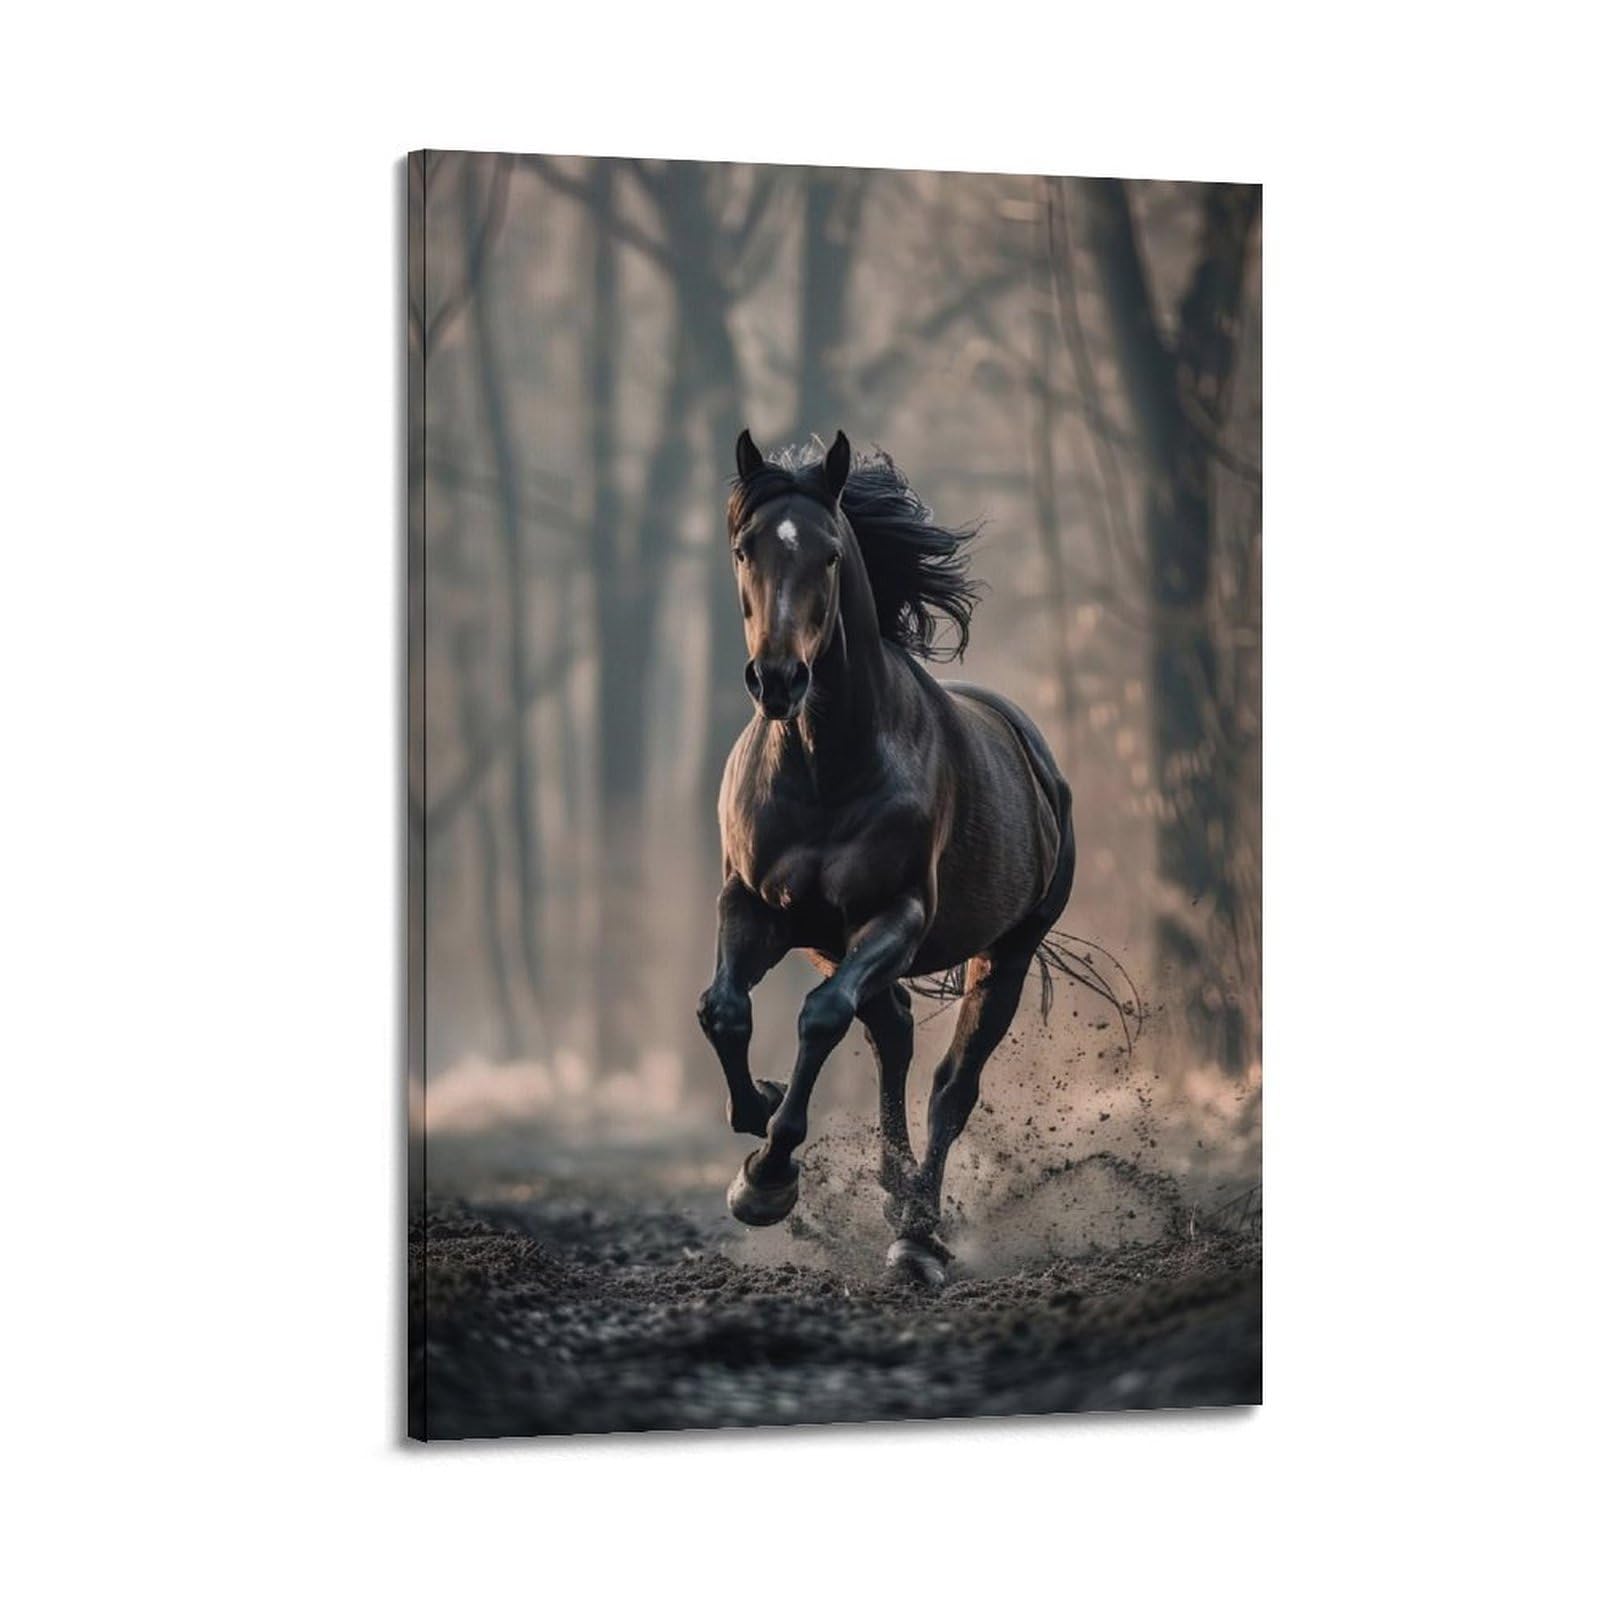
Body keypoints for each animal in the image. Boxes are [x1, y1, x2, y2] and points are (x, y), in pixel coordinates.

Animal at [695, 429, 1076, 1287]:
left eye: (832, 554)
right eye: (743, 548)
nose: (778, 679)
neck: (823, 765)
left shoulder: (893, 915)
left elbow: (819, 1018)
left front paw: (770, 1176)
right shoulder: (754, 905)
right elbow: (724, 1010)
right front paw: (758, 1117)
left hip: (1005, 951)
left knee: (948, 1087)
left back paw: (918, 1234)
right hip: (837, 945)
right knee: (893, 1036)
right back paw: (896, 1197)